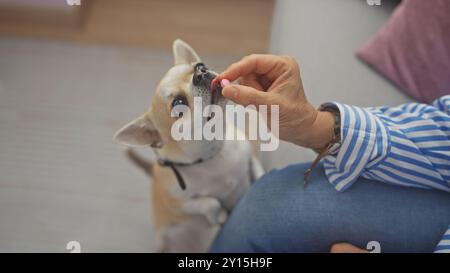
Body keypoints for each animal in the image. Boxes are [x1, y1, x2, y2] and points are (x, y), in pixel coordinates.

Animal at [112, 39, 266, 252]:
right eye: (179, 103)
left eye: (200, 66)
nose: (200, 74)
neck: (211, 155)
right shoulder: (179, 203)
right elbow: (210, 203)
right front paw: (218, 214)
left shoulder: (249, 157)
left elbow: (258, 170)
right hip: (166, 230)